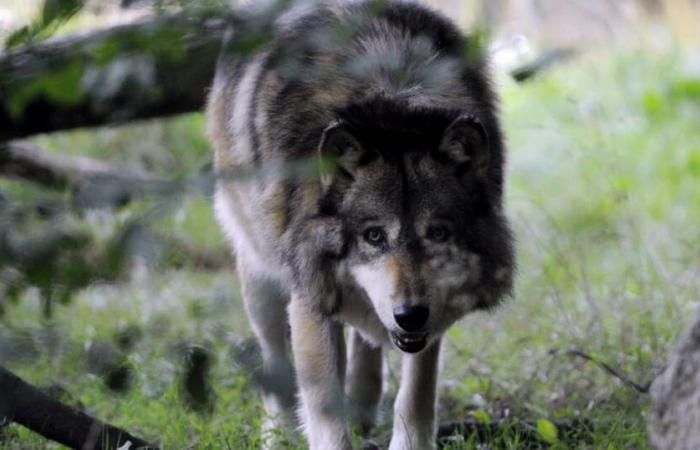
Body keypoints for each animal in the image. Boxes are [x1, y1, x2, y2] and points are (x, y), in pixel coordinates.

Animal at [205, 1, 516, 448]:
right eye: (373, 236)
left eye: (438, 233)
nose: (409, 315)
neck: (390, 99)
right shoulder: (310, 294)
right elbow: (323, 409)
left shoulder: (431, 313)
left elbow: (417, 393)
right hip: (260, 277)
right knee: (275, 358)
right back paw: (277, 434)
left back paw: (363, 401)